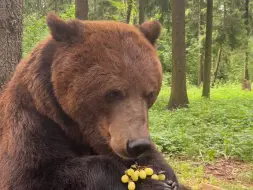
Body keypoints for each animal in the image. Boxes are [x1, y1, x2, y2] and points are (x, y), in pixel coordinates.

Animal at [0, 13, 188, 190]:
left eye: (149, 93)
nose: (138, 144)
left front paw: (164, 176)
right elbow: (33, 174)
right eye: (114, 93)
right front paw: (150, 183)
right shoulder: (34, 119)